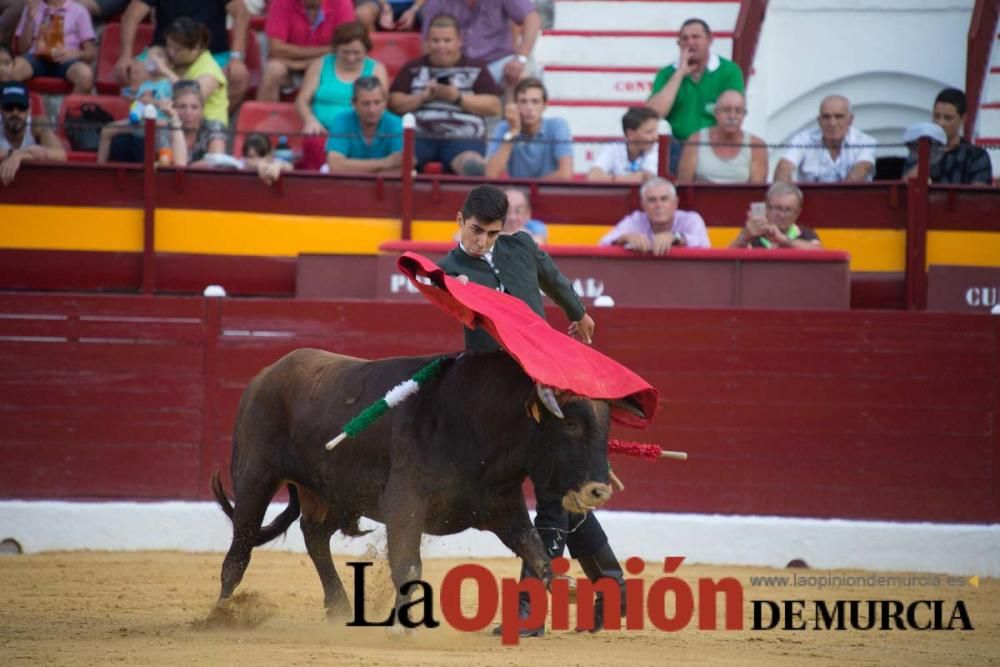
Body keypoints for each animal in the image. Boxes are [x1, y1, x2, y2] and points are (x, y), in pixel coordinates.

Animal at [214, 350, 644, 620]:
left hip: (331, 492)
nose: (599, 491)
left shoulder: (504, 507)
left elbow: (538, 556)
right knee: (241, 548)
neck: (475, 421)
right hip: (255, 477)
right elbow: (407, 566)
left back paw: (337, 608)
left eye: (606, 427)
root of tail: (266, 374)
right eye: (569, 423)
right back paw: (218, 615)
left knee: (314, 536)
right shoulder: (404, 505)